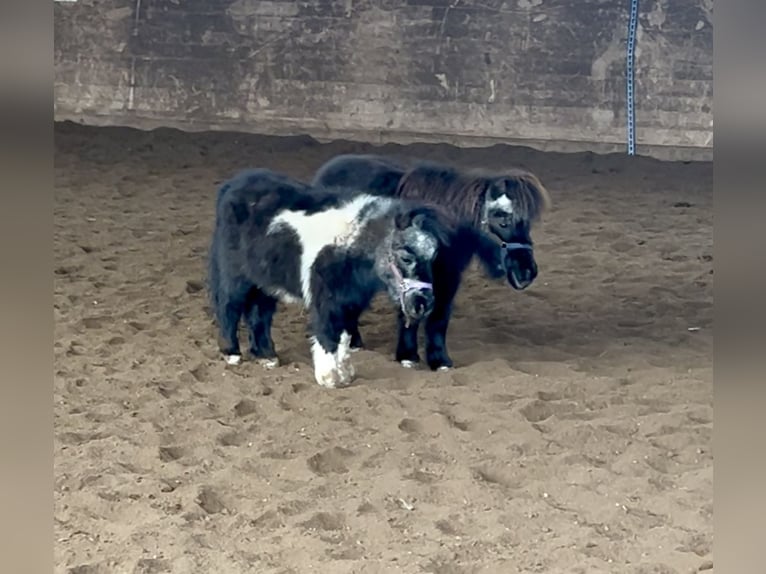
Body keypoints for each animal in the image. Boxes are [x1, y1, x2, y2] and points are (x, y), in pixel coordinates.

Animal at [207, 169, 460, 390]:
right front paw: (329, 378)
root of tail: (233, 185)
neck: (350, 243)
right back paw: (231, 353)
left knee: (259, 314)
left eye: (434, 255)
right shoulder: (327, 300)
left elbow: (344, 336)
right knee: (229, 307)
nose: (423, 304)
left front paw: (345, 374)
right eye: (406, 257)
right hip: (235, 277)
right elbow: (328, 334)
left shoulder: (350, 301)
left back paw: (266, 356)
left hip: (265, 283)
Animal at [312, 154, 552, 374]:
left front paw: (439, 360)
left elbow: (438, 318)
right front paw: (407, 356)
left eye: (527, 222)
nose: (527, 272)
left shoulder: (449, 277)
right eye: (502, 219)